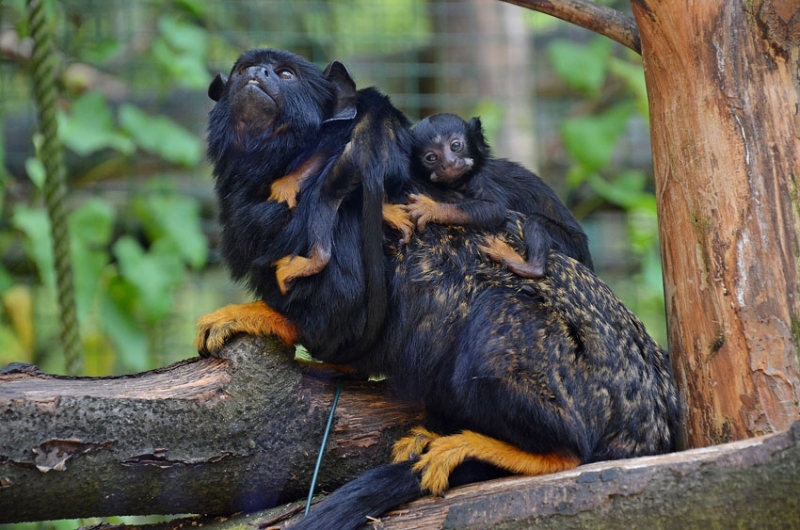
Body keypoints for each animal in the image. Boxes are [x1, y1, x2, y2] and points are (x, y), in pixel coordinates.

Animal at [410, 112, 592, 276]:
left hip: (571, 244)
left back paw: (529, 266)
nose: (449, 163)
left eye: (455, 145)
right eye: (431, 157)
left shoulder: (483, 178)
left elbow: (495, 210)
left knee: (536, 222)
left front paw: (432, 209)